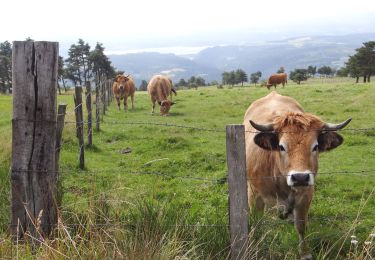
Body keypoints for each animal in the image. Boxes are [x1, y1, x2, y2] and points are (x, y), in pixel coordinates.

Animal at [244, 91, 352, 258]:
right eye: (281, 146)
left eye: (315, 146)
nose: (300, 177)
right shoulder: (255, 195)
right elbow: (256, 224)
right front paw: (254, 248)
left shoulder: (306, 195)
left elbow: (301, 226)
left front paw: (305, 253)